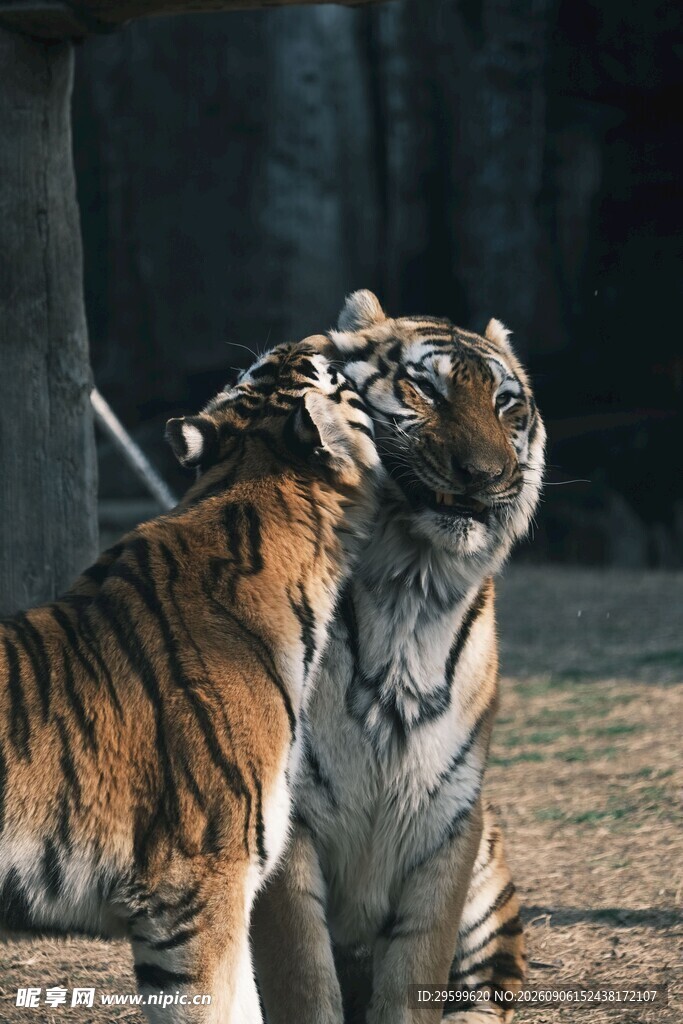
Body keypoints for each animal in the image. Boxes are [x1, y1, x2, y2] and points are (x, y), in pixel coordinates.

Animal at [252, 291, 546, 1024]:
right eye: (426, 390)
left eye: (506, 405)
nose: (484, 476)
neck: (409, 592)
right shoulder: (291, 818)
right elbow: (301, 975)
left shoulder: (447, 815)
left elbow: (417, 967)